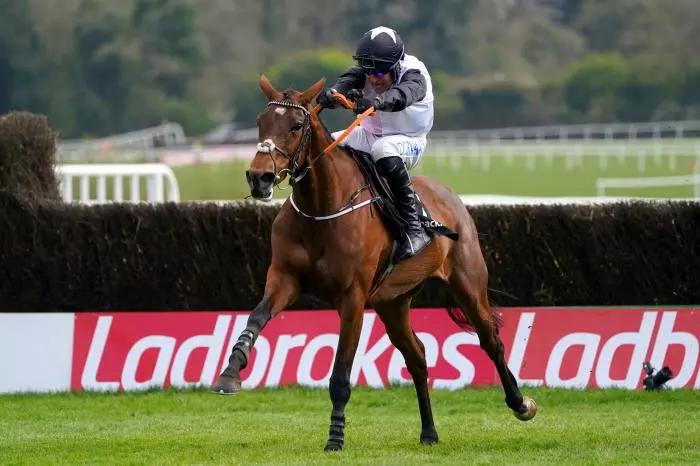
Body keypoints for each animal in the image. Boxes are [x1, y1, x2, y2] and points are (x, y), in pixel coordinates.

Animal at [211, 74, 540, 450]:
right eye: (260, 122)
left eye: (296, 125)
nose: (259, 177)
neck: (322, 207)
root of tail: (449, 196)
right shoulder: (284, 279)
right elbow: (255, 318)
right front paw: (230, 373)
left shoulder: (353, 298)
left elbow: (341, 374)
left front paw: (335, 438)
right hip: (392, 302)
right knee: (417, 356)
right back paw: (429, 432)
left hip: (468, 283)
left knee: (490, 341)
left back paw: (520, 403)